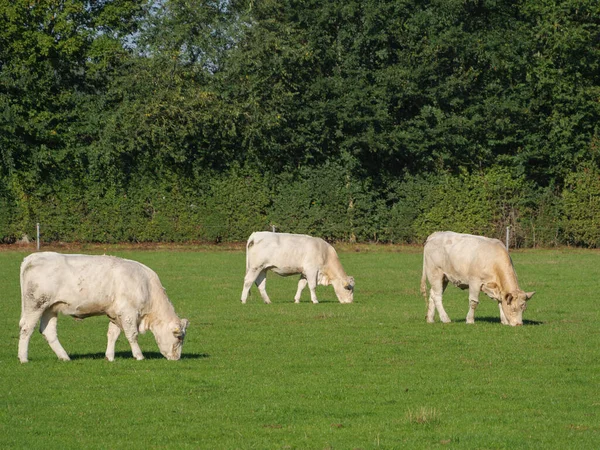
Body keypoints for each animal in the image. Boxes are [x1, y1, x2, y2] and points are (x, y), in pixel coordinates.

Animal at [18, 253, 188, 362]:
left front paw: (110, 357)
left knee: (48, 332)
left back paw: (64, 357)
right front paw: (139, 356)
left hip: (50, 308)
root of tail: (32, 257)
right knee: (26, 329)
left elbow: (112, 335)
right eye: (179, 337)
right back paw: (23, 358)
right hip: (35, 305)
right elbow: (132, 335)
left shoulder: (115, 313)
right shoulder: (128, 313)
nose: (176, 358)